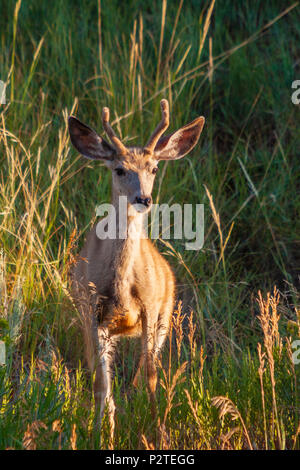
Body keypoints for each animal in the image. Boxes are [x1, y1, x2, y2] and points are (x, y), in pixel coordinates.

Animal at [67, 100, 204, 444]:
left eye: (153, 169)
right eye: (119, 169)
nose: (144, 198)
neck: (121, 285)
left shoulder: (150, 308)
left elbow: (151, 377)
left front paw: (159, 434)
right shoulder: (91, 310)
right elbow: (101, 384)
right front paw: (99, 436)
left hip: (164, 319)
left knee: (143, 371)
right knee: (105, 378)